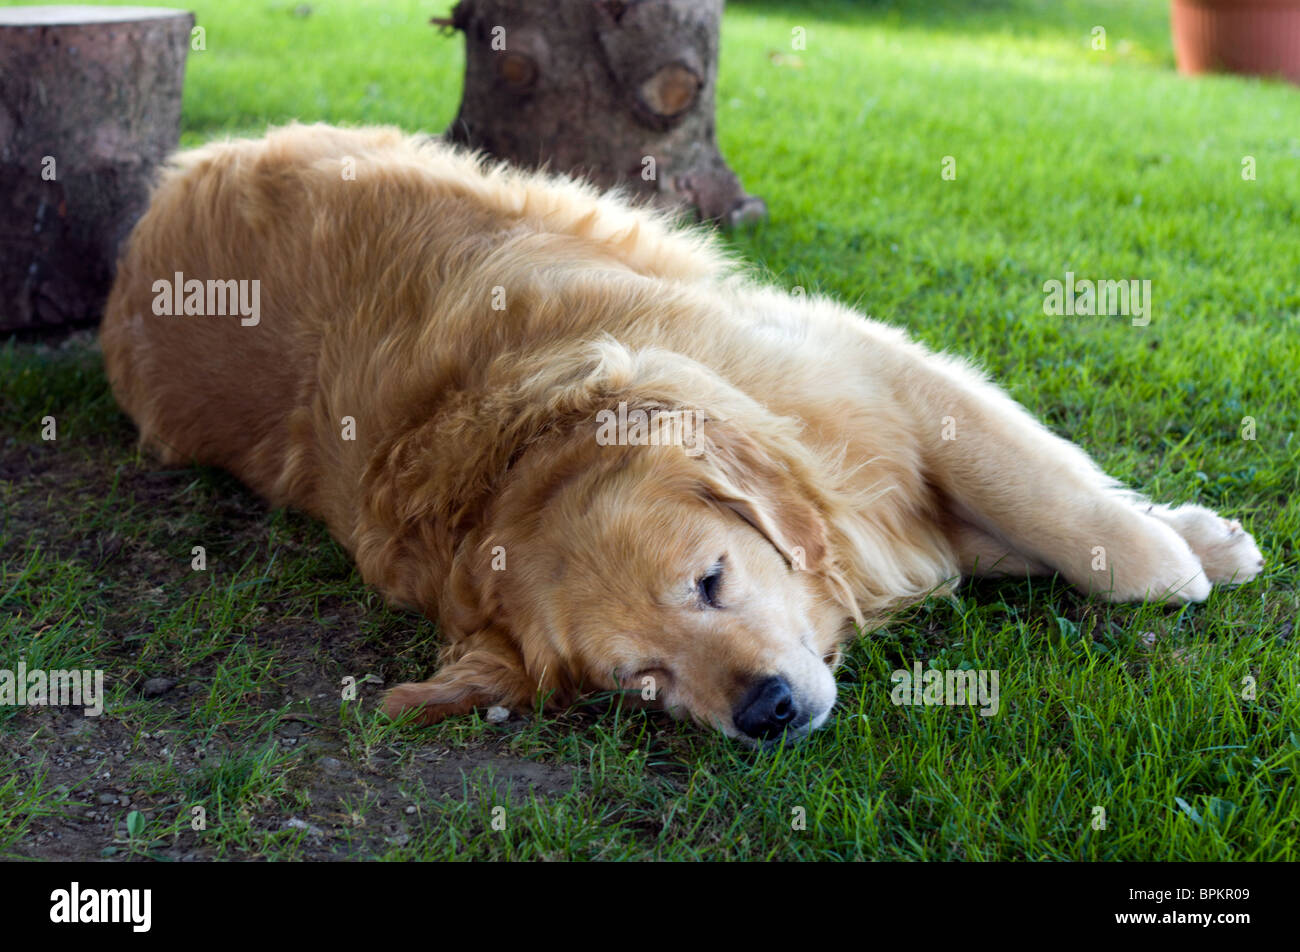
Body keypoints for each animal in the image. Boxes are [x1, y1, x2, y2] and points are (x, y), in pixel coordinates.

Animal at [98, 122, 1258, 743]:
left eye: (710, 579)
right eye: (642, 682)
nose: (765, 711)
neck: (517, 454)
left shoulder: (867, 375)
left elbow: (1051, 500)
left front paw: (1177, 550)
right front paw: (1187, 544)